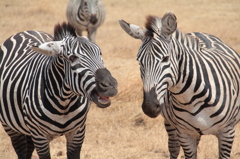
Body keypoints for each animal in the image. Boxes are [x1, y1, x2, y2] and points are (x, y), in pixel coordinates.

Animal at [0, 21, 118, 159]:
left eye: (100, 53)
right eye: (72, 58)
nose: (110, 86)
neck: (64, 103)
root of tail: (26, 31)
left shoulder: (77, 133)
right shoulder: (40, 137)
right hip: (9, 125)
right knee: (21, 149)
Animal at [118, 11, 240, 158]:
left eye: (165, 59)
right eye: (139, 61)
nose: (149, 107)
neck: (190, 99)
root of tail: (198, 32)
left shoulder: (227, 132)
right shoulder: (185, 134)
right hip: (171, 123)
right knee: (174, 147)